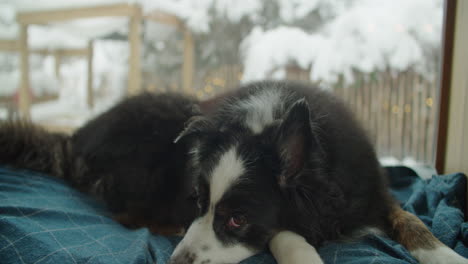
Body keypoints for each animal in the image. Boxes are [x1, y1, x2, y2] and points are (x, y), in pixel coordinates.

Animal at [0, 81, 466, 264]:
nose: (176, 262)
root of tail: (75, 137)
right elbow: (283, 232)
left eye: (237, 220)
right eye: (197, 202)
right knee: (125, 213)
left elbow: (410, 219)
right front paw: (303, 255)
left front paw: (445, 254)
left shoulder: (373, 192)